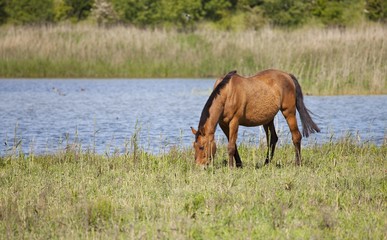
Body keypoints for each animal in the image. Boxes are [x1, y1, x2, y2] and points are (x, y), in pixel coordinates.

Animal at [191, 68, 322, 168]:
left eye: (201, 147)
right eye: (194, 146)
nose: (199, 166)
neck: (226, 94)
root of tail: (287, 75)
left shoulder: (234, 122)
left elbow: (231, 146)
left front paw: (231, 167)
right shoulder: (223, 124)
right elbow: (234, 144)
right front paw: (239, 165)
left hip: (289, 112)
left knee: (296, 136)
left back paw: (297, 163)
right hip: (268, 119)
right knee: (273, 139)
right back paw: (266, 163)